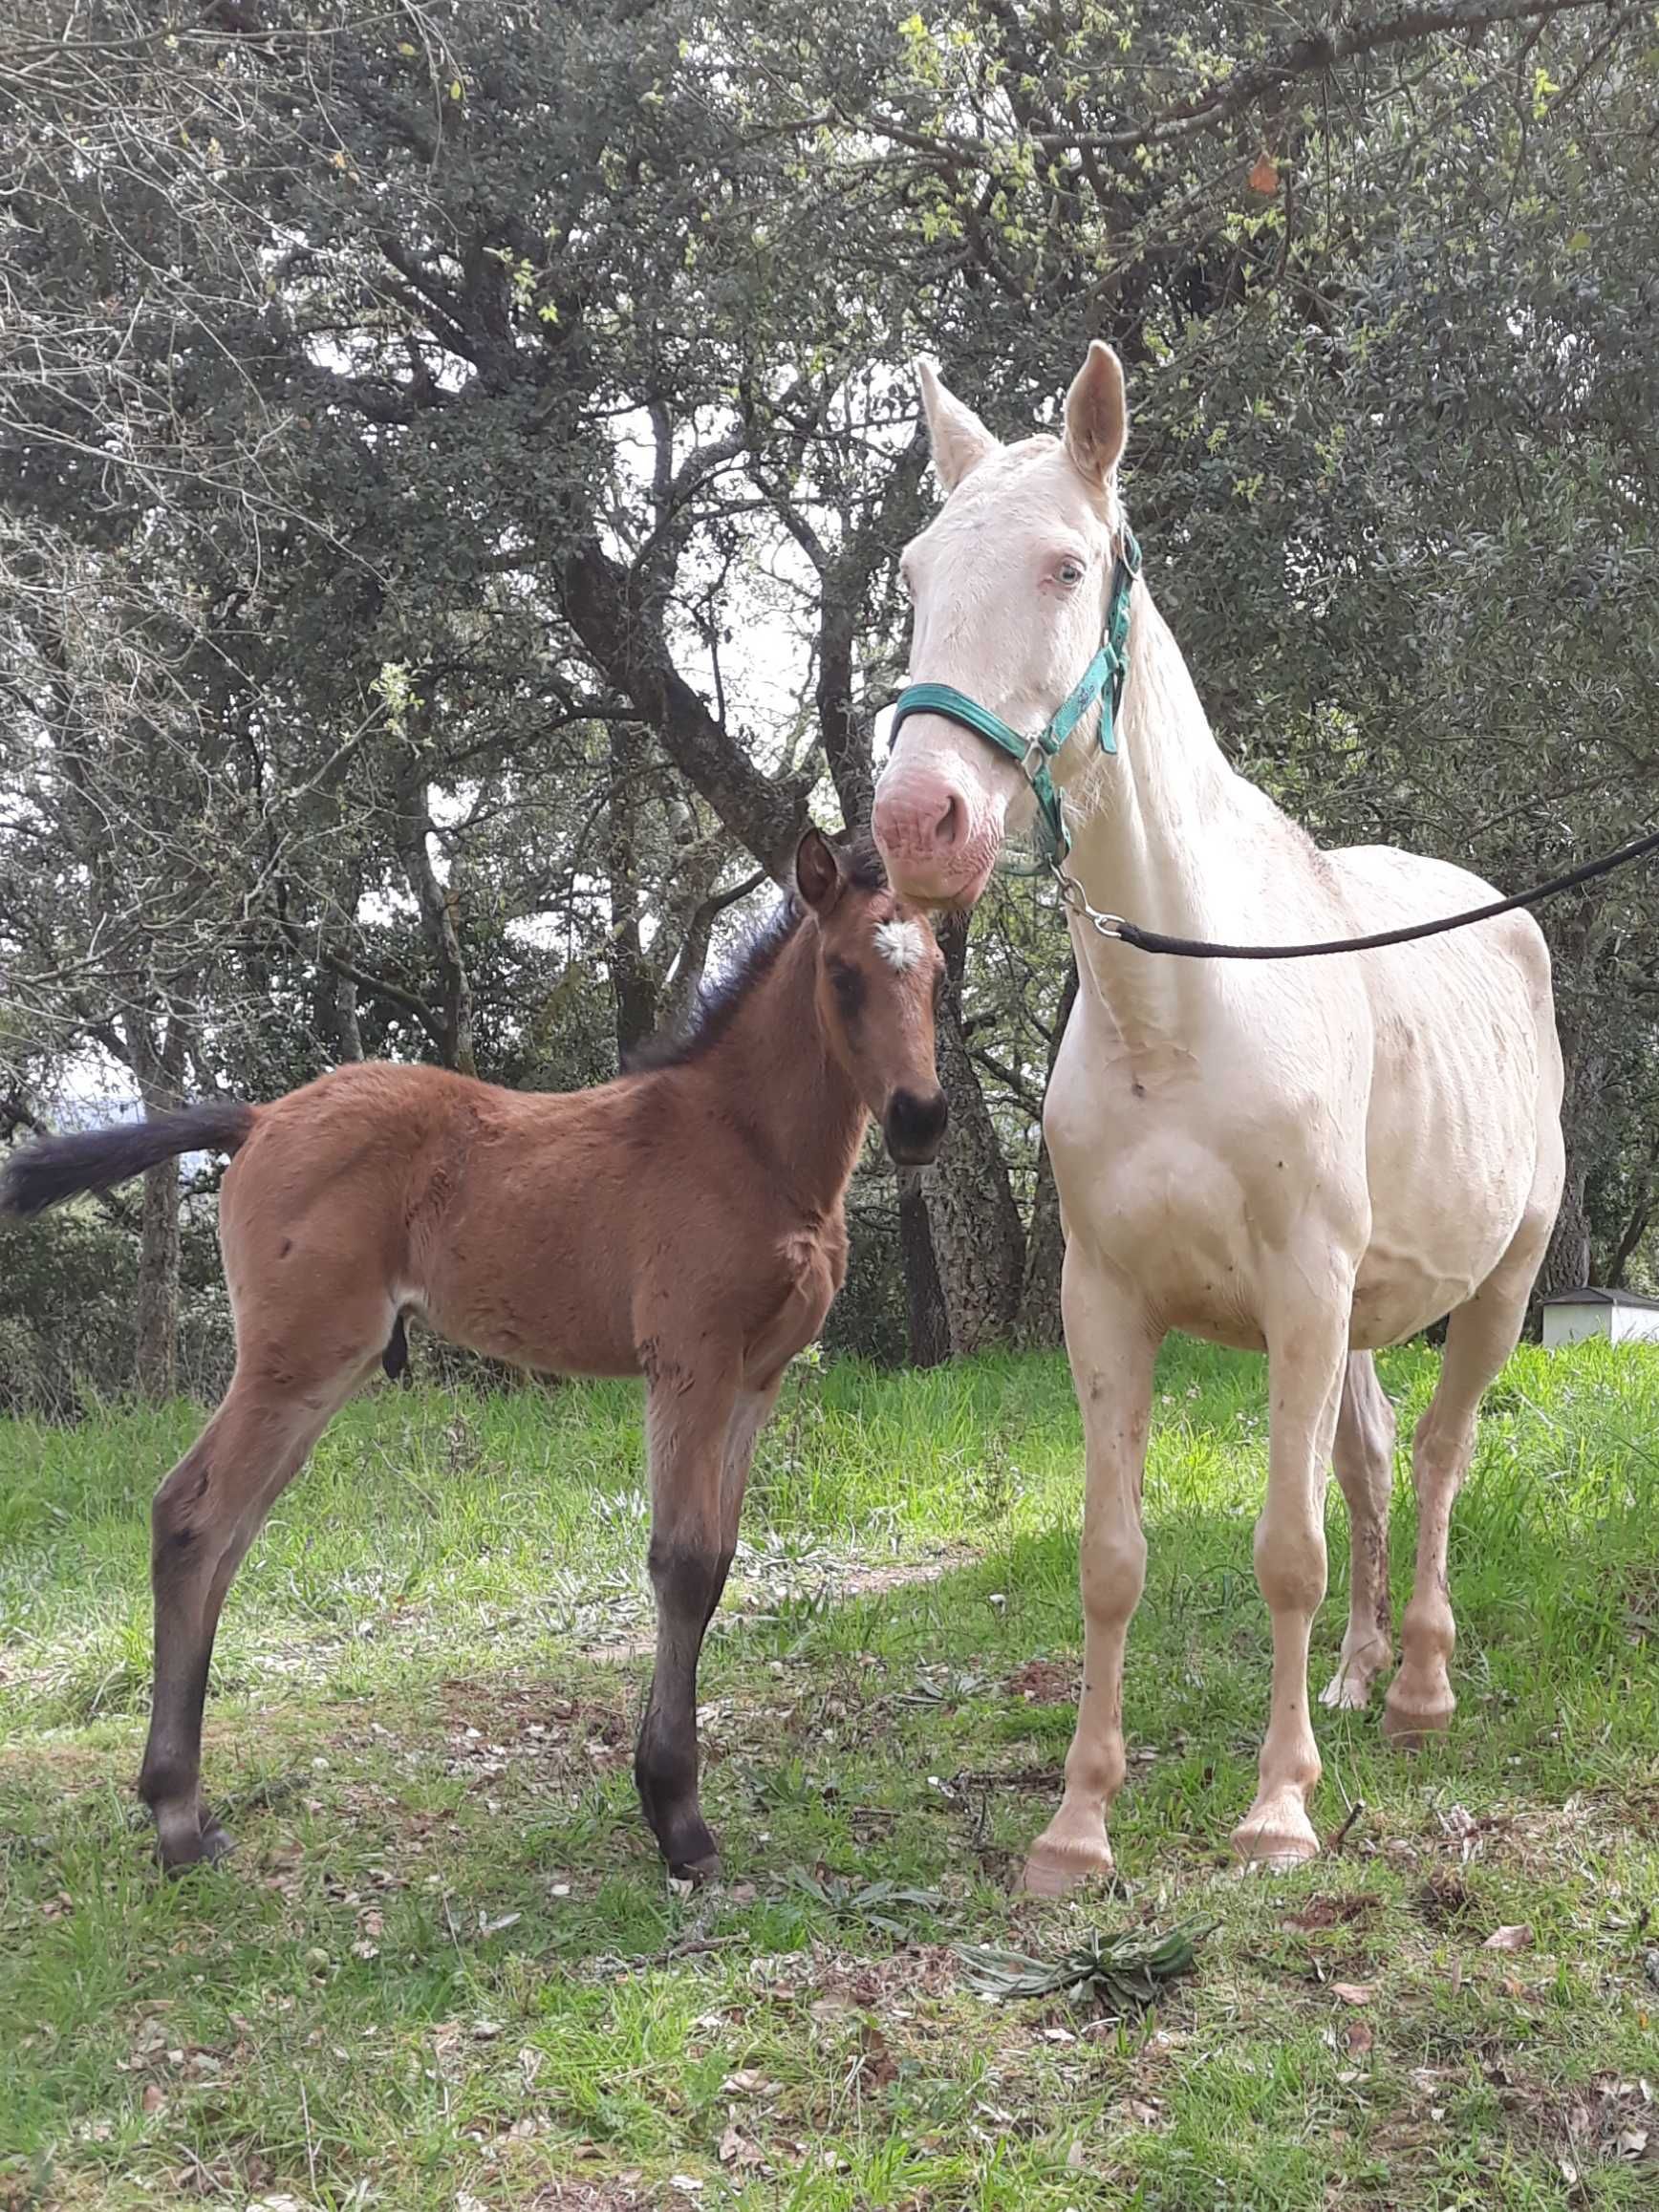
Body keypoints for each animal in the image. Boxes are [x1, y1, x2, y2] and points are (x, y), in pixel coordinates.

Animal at [3, 836, 946, 1876]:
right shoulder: (688, 1362)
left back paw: (188, 1808)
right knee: (191, 1514)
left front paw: (664, 1795)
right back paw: (174, 1819)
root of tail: (257, 1119)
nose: (921, 1118)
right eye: (843, 973)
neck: (744, 1146)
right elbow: (683, 1561)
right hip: (296, 1358)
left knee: (227, 1528)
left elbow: (719, 1564)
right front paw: (677, 1814)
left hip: (319, 1372)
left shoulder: (756, 1377)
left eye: (938, 974)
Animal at [875, 345, 1565, 1884]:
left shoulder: (1301, 1291)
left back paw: (1418, 1684)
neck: (1180, 1007)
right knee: (1373, 1462)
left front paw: (1275, 1807)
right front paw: (1078, 1822)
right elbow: (1111, 1557)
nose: (916, 820)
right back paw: (1359, 1675)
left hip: (1497, 1283)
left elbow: (1282, 1551)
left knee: (1439, 1458)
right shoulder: (1108, 1299)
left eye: (1067, 567)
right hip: (1367, 1309)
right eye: (916, 570)